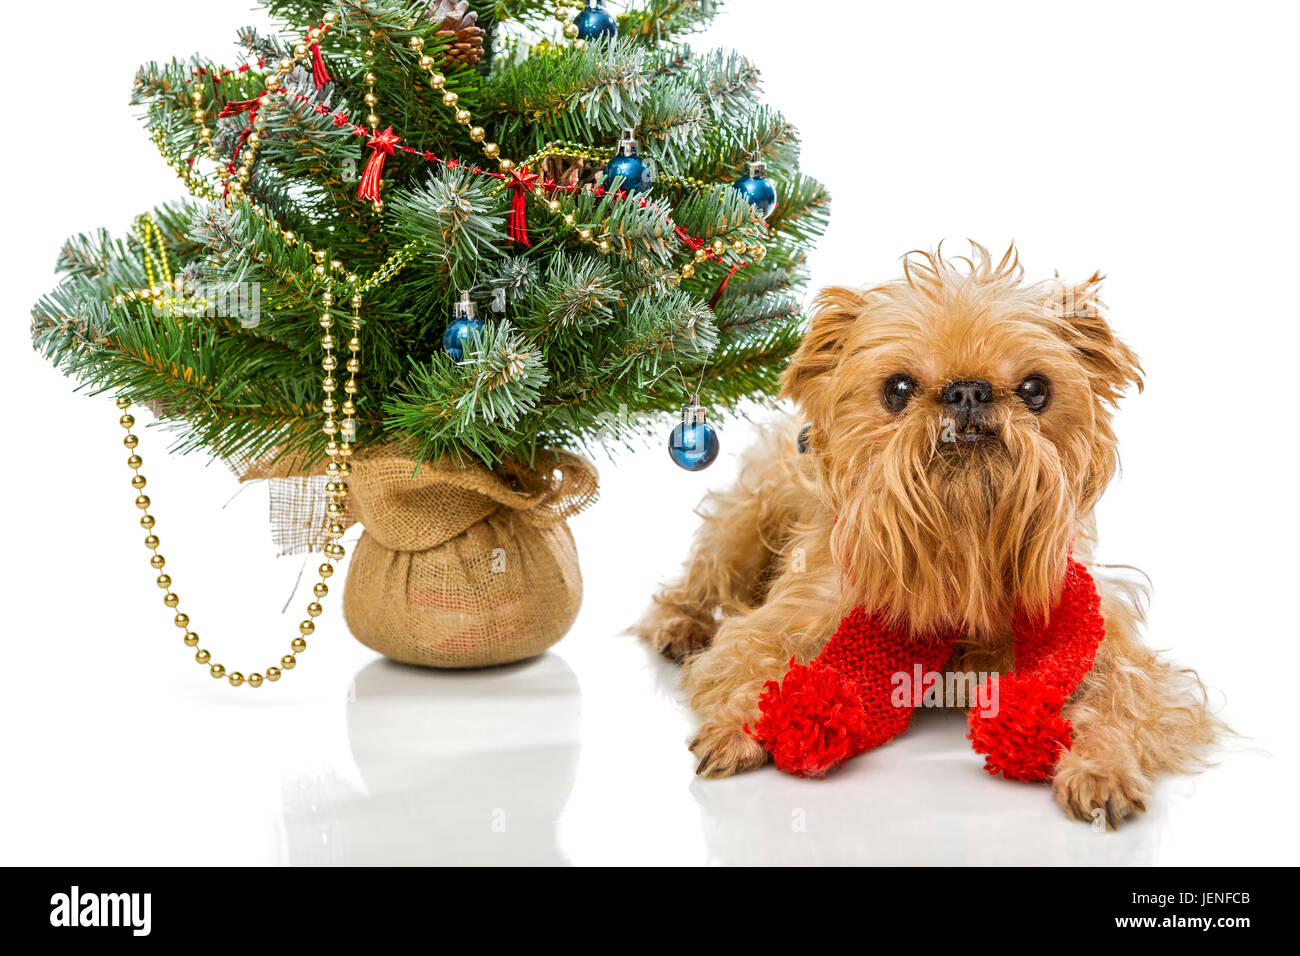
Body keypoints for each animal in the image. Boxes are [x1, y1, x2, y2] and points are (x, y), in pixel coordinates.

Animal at [637, 243, 1216, 827]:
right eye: (898, 389)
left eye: (1035, 390)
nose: (968, 390)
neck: (958, 564)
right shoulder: (794, 614)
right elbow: (747, 661)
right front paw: (739, 726)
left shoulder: (1096, 630)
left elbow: (1122, 699)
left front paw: (1103, 766)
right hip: (748, 518)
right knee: (706, 571)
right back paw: (679, 624)